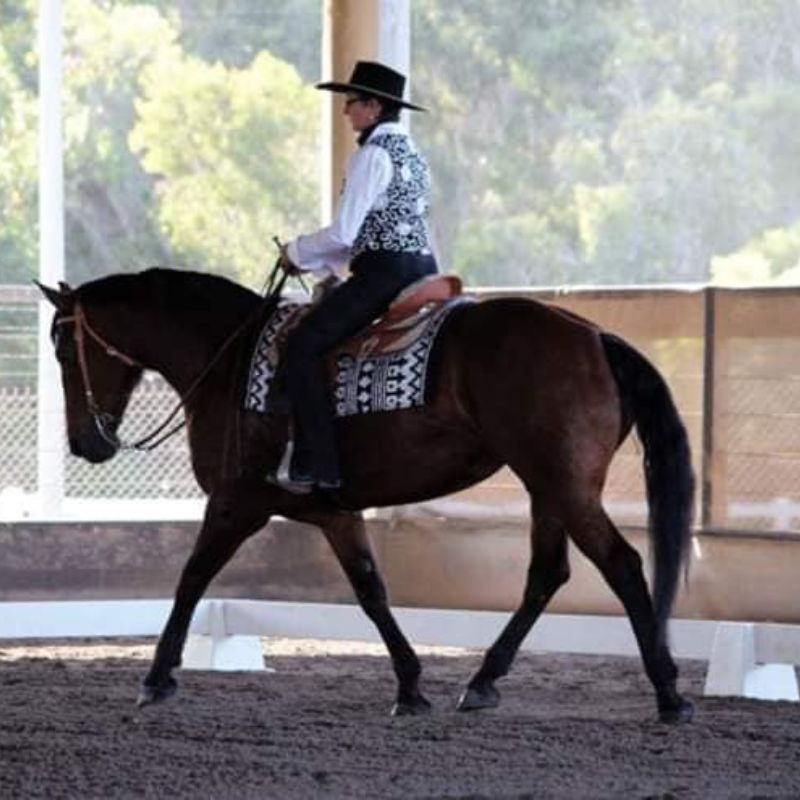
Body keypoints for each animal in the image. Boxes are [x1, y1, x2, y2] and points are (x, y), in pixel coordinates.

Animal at [37, 267, 695, 723]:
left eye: (64, 349)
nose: (84, 443)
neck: (228, 363)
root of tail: (594, 336)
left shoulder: (236, 501)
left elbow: (192, 576)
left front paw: (156, 677)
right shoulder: (336, 513)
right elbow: (370, 591)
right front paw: (409, 686)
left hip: (565, 487)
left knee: (622, 564)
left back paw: (668, 692)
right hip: (547, 489)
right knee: (547, 574)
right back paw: (482, 681)